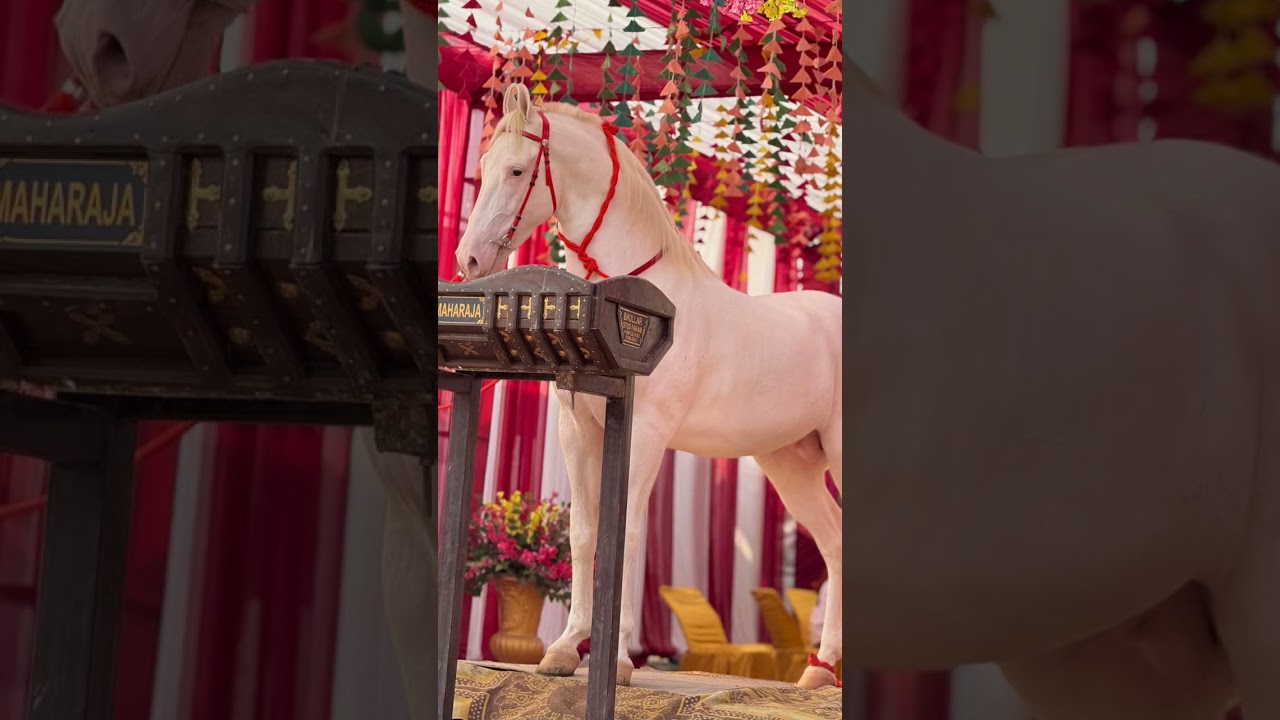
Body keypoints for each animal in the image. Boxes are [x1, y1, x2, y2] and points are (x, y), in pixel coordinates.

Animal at [453, 83, 845, 690]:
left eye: (517, 170)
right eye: (483, 166)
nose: (468, 259)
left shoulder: (647, 432)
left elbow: (628, 533)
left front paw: (617, 660)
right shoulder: (576, 427)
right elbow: (586, 531)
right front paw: (564, 650)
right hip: (792, 465)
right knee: (834, 544)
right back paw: (819, 673)